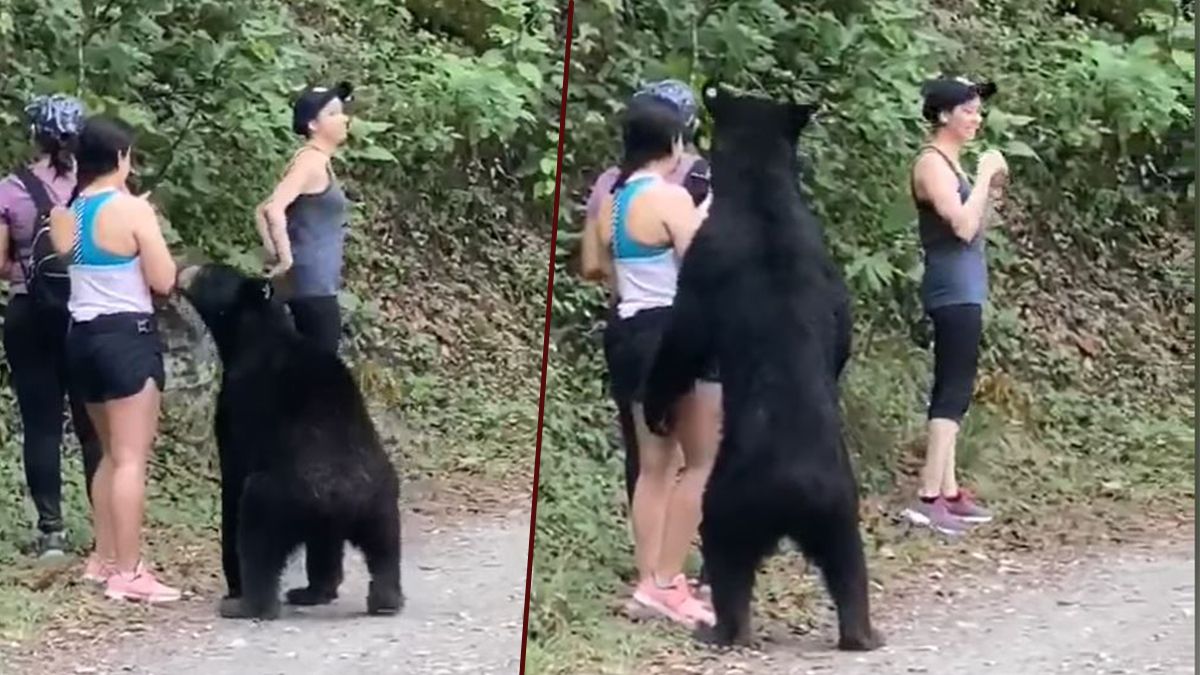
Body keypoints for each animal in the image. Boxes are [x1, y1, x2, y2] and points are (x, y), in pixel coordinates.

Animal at [176, 263, 404, 621]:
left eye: (211, 273)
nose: (183, 268)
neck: (254, 335)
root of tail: (341, 496)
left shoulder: (237, 407)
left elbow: (233, 475)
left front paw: (233, 585)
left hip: (278, 497)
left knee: (256, 538)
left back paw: (246, 604)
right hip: (379, 500)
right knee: (380, 548)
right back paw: (372, 597)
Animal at [642, 83, 881, 651]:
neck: (762, 194)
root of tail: (796, 491)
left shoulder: (705, 257)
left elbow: (684, 340)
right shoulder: (828, 272)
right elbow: (841, 337)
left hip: (728, 502)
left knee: (727, 560)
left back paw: (719, 628)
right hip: (842, 509)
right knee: (850, 568)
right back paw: (862, 633)